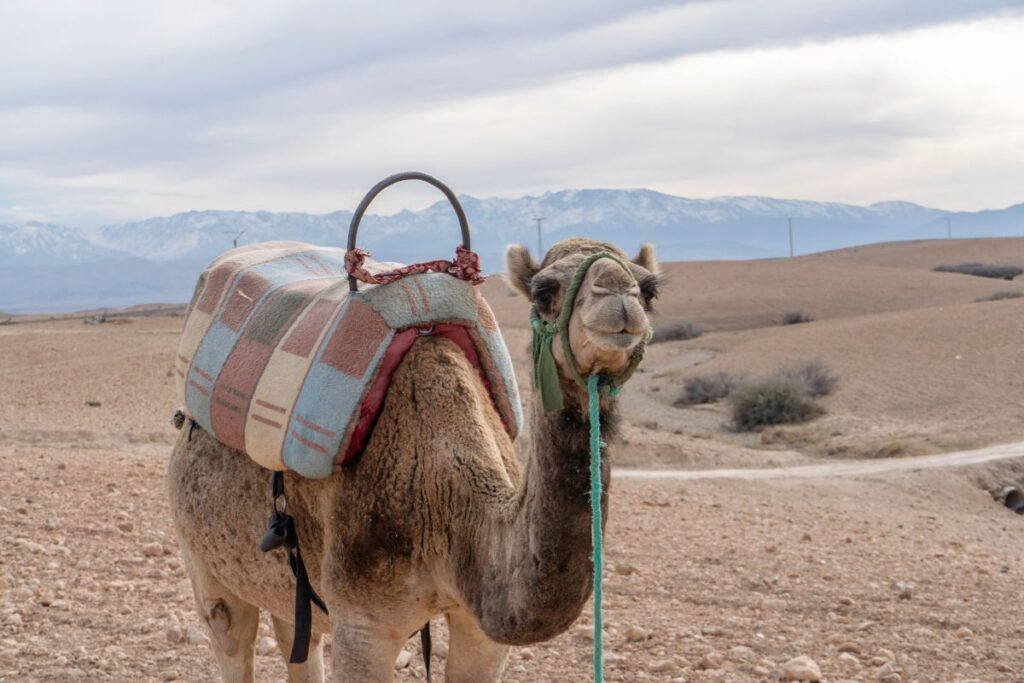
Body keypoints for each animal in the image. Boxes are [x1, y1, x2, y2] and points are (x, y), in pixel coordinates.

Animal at [165, 237, 663, 679]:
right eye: (544, 291)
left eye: (650, 289)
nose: (618, 296)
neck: (444, 495)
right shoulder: (363, 626)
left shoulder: (479, 629)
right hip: (200, 556)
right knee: (228, 630)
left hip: (286, 585)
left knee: (296, 638)